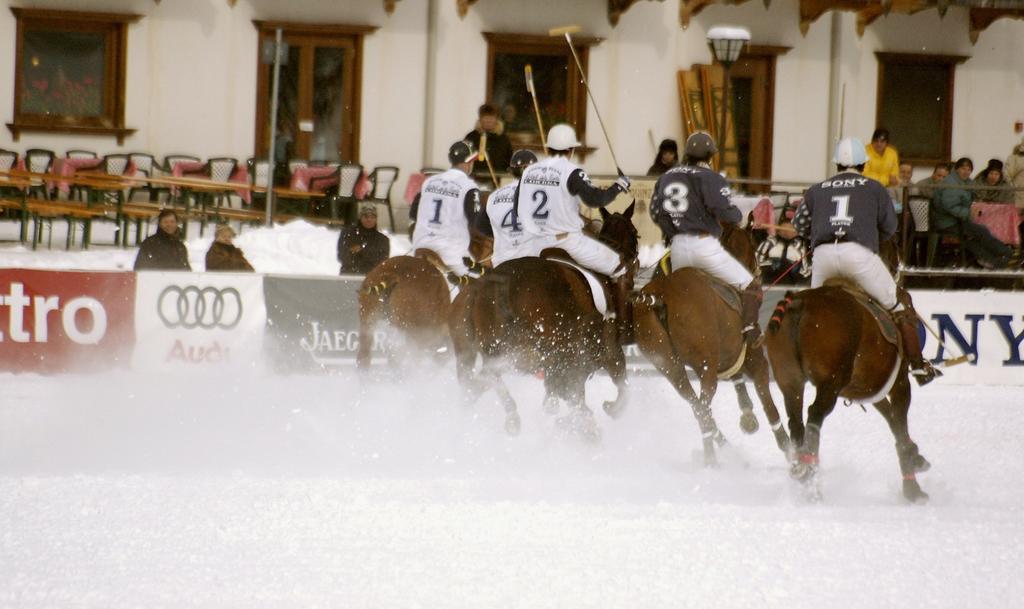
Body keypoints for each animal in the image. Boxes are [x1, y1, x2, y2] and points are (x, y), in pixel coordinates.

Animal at [452, 204, 634, 438]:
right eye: (636, 234)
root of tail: (499, 283)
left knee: (480, 381)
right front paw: (604, 412)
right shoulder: (606, 352)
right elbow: (620, 387)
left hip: (495, 350)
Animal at [630, 224, 790, 466]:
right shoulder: (755, 360)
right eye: (754, 248)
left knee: (696, 405)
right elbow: (768, 402)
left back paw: (722, 451)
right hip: (705, 365)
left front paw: (748, 417)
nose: (759, 273)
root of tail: (659, 296)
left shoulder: (729, 356)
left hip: (668, 364)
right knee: (703, 404)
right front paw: (793, 452)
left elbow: (737, 379)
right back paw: (712, 459)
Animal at [770, 286, 929, 505]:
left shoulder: (868, 389)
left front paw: (916, 457)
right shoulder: (899, 382)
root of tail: (799, 302)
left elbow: (892, 420)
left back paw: (804, 474)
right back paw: (810, 478)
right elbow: (899, 424)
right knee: (815, 414)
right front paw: (912, 489)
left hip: (790, 381)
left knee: (796, 422)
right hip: (832, 381)